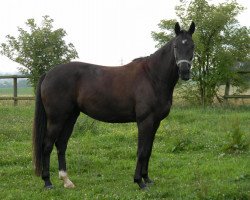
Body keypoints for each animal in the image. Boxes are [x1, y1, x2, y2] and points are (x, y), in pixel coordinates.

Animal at [32, 21, 195, 189]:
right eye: (176, 46)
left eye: (192, 46)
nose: (184, 72)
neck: (152, 77)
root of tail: (48, 74)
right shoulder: (145, 121)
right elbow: (141, 151)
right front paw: (139, 182)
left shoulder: (155, 122)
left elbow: (149, 150)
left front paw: (147, 178)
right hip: (56, 119)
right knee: (47, 145)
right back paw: (47, 182)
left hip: (70, 117)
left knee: (61, 144)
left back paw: (66, 180)